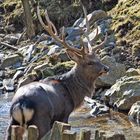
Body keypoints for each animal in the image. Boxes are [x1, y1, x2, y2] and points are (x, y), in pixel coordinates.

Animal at [5, 2, 109, 140]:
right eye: (89, 62)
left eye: (98, 58)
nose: (106, 68)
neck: (73, 93)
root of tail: (22, 104)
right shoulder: (65, 114)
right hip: (41, 119)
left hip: (13, 122)